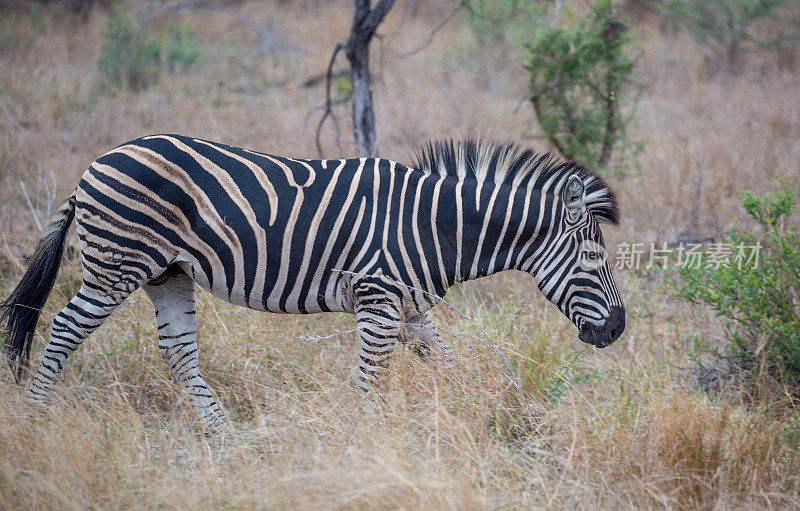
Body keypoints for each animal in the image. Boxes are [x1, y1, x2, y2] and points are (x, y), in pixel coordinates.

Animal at [0, 135, 624, 428]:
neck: (435, 225)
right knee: (63, 329)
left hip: (168, 273)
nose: (618, 330)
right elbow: (369, 381)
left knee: (177, 352)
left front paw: (483, 412)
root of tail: (93, 166)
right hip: (116, 267)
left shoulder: (409, 305)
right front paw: (367, 446)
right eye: (595, 260)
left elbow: (447, 361)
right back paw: (35, 414)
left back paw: (227, 437)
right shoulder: (378, 298)